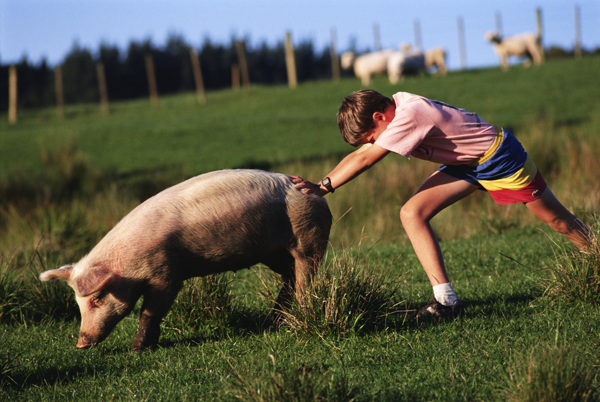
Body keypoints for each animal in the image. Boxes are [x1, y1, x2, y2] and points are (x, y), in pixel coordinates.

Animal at [39, 170, 330, 352]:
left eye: (97, 299)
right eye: (77, 303)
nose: (81, 344)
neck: (129, 264)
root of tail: (316, 194)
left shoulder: (166, 274)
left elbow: (150, 310)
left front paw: (135, 350)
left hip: (309, 237)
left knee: (305, 276)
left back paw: (299, 316)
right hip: (273, 253)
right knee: (289, 276)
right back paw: (275, 321)